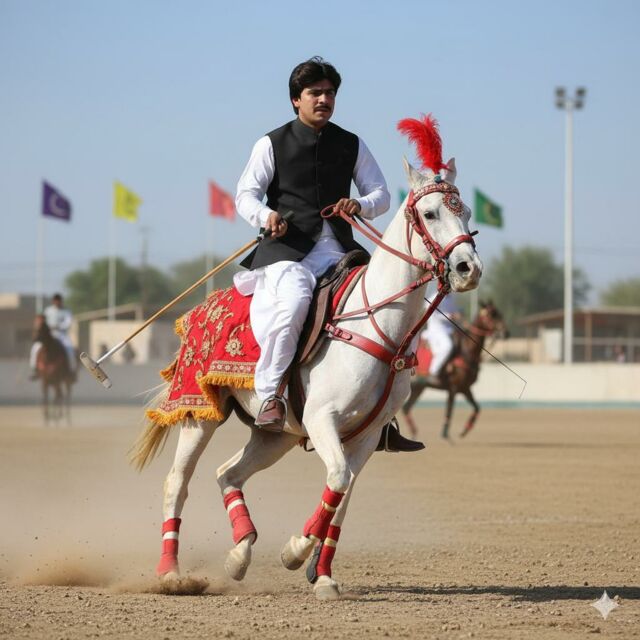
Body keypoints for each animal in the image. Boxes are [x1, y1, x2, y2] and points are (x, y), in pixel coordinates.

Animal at [131, 117, 483, 600]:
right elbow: (336, 480)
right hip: (199, 412)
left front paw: (323, 575)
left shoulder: (366, 435)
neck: (378, 327)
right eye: (430, 214)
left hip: (274, 435)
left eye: (465, 212)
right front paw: (295, 551)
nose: (469, 269)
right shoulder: (323, 418)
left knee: (228, 473)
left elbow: (342, 497)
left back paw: (240, 554)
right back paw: (171, 573)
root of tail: (202, 308)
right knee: (177, 483)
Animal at [402, 301, 507, 439]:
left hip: (419, 388)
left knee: (406, 408)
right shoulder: (453, 387)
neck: (466, 352)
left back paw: (414, 433)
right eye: (491, 314)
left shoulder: (465, 388)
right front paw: (445, 434)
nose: (506, 333)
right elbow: (449, 409)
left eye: (499, 313)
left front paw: (465, 430)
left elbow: (477, 407)